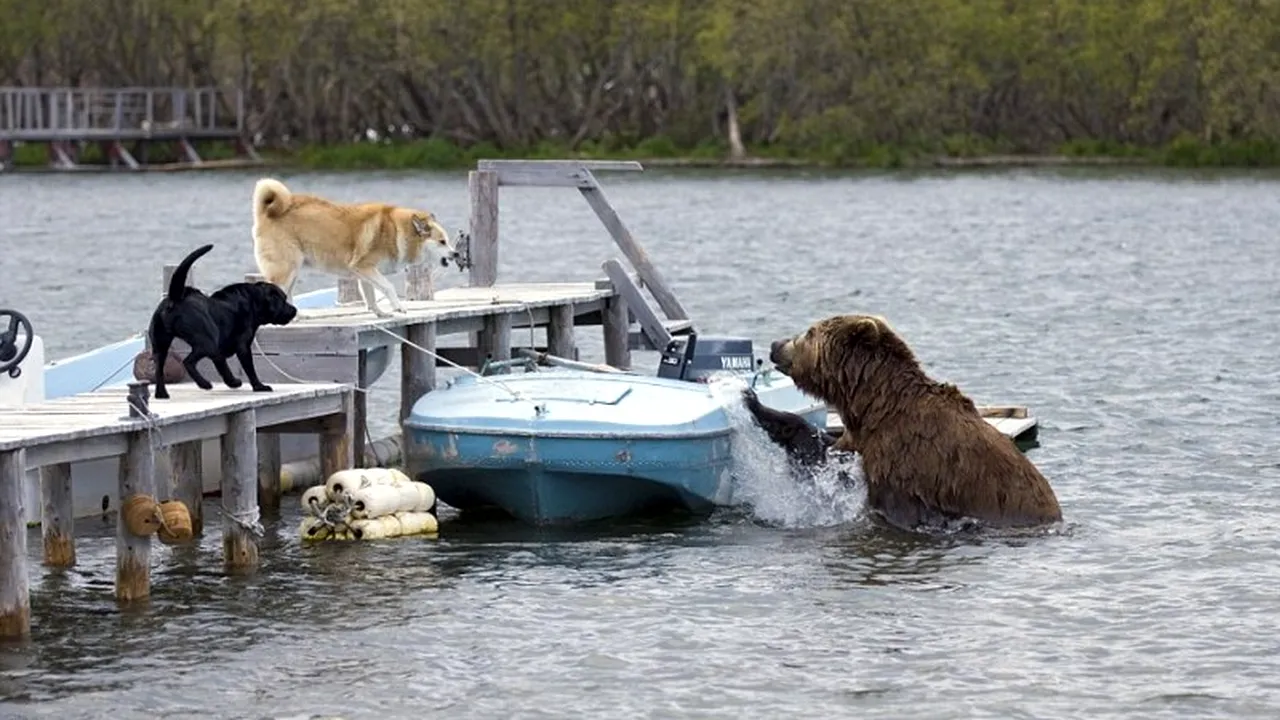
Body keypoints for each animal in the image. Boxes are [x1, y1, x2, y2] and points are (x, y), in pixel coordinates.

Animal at [763, 313, 1062, 533]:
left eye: (809, 332)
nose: (775, 344)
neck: (875, 405)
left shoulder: (902, 460)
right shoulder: (859, 438)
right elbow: (823, 450)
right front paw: (764, 409)